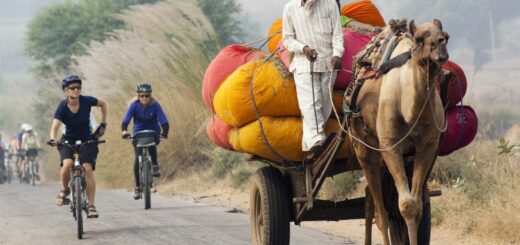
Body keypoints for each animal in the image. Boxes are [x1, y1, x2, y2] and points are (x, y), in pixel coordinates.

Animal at [348, 19, 448, 245]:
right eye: (419, 39)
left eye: (446, 36)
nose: (440, 47)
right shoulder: (390, 145)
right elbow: (406, 205)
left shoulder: (428, 147)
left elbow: (417, 207)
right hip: (363, 149)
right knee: (380, 213)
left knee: (371, 202)